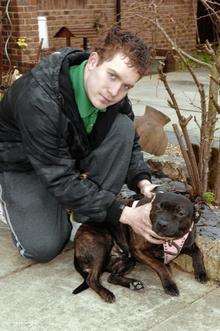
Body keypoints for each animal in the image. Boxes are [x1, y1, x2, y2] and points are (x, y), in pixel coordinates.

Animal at [72, 192, 208, 304]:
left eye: (180, 213)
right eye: (158, 208)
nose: (162, 223)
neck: (168, 240)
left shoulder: (188, 245)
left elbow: (198, 252)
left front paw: (201, 273)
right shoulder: (138, 251)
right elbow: (161, 266)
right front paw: (169, 283)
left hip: (128, 260)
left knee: (112, 277)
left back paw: (133, 284)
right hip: (101, 247)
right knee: (92, 279)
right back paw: (107, 293)